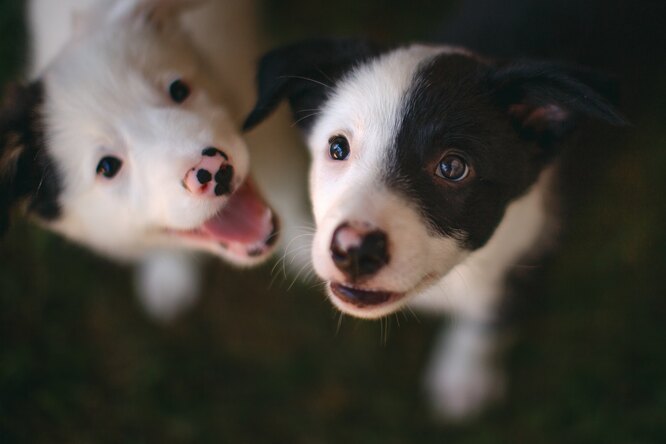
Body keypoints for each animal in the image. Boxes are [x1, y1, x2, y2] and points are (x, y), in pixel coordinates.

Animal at [243, 0, 628, 418]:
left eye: (453, 167)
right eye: (338, 147)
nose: (354, 250)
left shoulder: (530, 253)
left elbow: (489, 317)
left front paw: (464, 377)